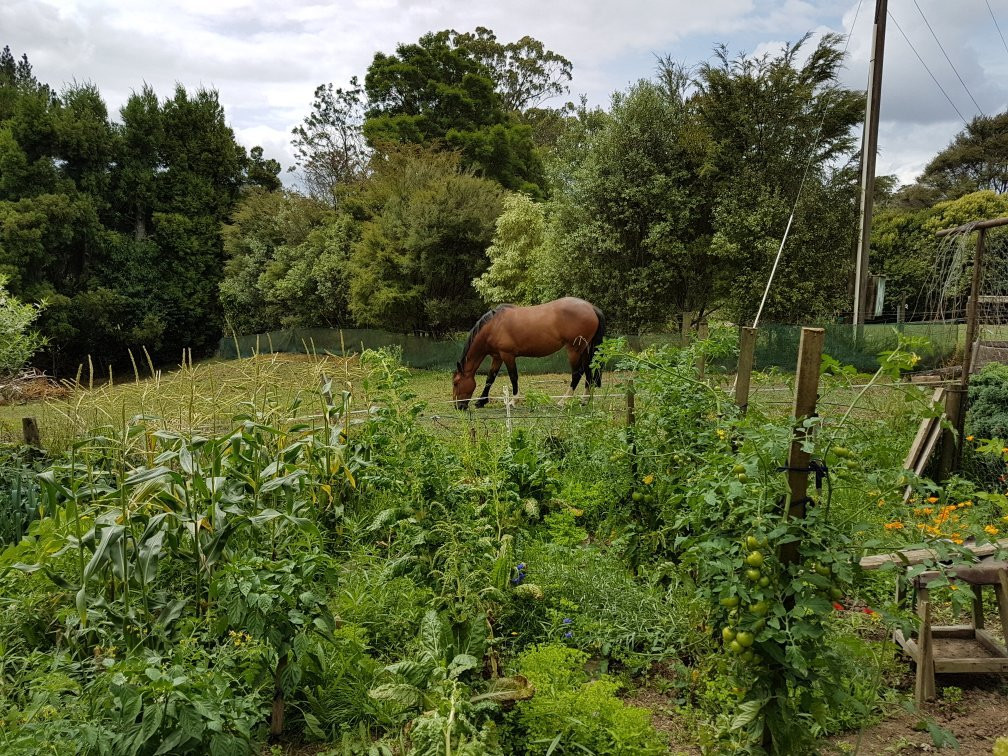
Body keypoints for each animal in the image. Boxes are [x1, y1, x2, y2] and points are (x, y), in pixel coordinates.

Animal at [451, 298, 604, 411]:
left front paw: (513, 401)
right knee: (588, 371)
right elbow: (490, 378)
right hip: (585, 350)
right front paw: (481, 402)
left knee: (577, 373)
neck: (494, 326)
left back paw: (563, 401)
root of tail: (591, 307)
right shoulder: (498, 356)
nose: (458, 406)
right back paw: (584, 401)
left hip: (574, 350)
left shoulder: (507, 355)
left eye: (456, 382)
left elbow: (513, 377)